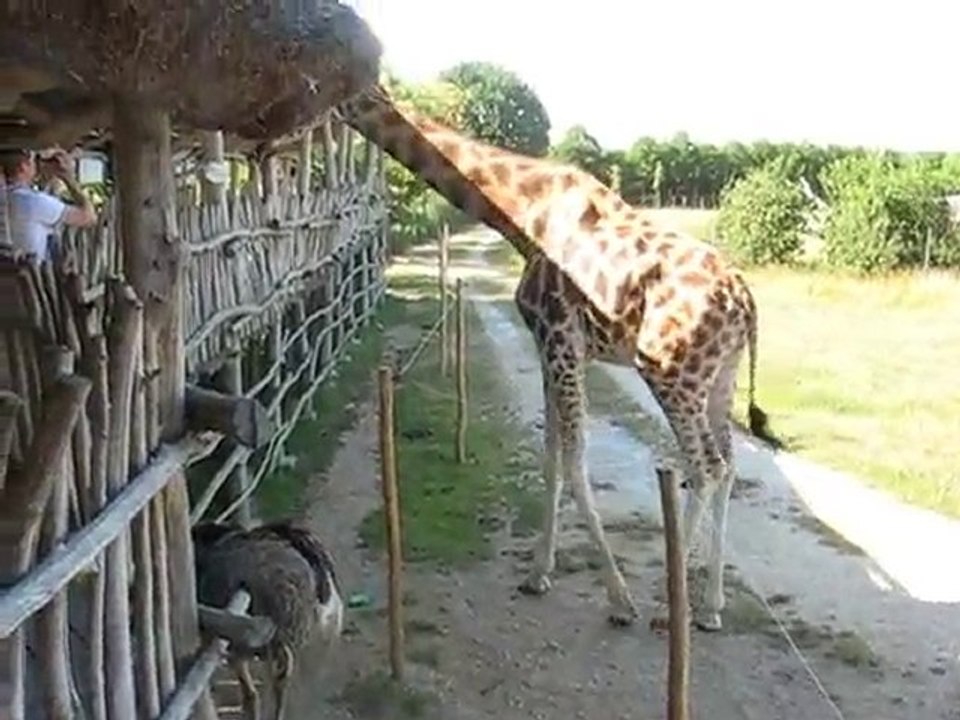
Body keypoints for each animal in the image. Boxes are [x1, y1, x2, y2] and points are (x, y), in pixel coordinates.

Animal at [337, 85, 776, 630]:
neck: (521, 213)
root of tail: (745, 302)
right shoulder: (552, 348)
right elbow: (551, 459)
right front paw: (537, 574)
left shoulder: (560, 336)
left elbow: (574, 460)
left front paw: (619, 599)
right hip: (721, 373)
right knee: (730, 464)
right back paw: (712, 606)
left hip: (671, 373)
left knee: (706, 467)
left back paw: (665, 610)